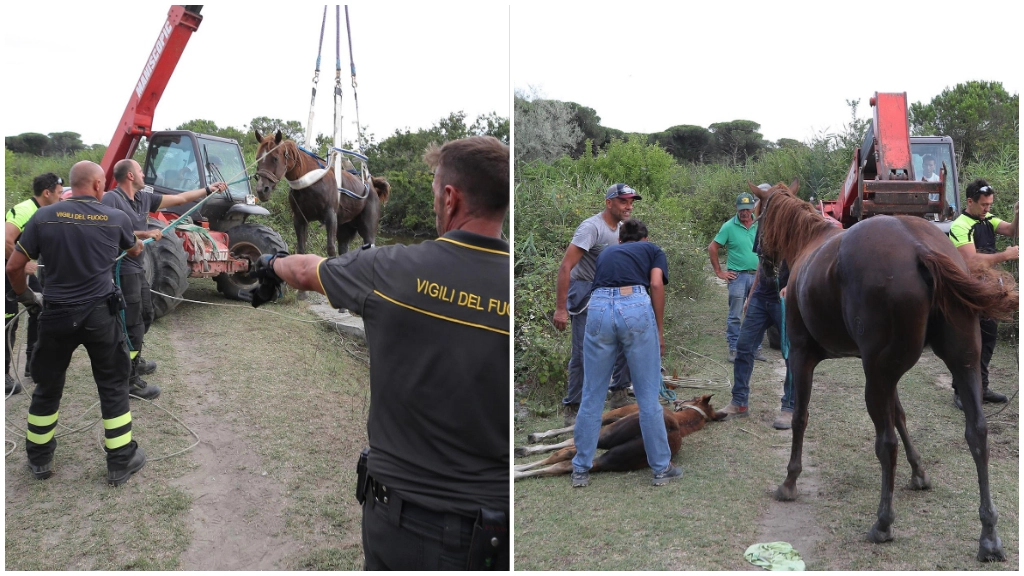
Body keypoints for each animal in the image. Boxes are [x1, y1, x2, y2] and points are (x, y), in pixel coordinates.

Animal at [253, 130, 389, 258]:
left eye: (275, 158)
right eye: (257, 159)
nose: (261, 189)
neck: (311, 183)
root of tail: (370, 185)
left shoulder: (330, 217)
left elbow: (330, 249)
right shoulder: (299, 219)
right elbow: (301, 250)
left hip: (368, 228)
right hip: (345, 229)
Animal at [512, 389, 720, 479]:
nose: (676, 401)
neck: (683, 421)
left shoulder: (611, 416)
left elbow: (566, 440)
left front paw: (535, 441)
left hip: (609, 437)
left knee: (563, 456)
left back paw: (517, 466)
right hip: (618, 457)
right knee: (568, 463)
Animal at [753, 177, 1015, 557]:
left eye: (758, 216)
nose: (761, 264)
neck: (810, 243)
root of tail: (920, 247)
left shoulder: (803, 356)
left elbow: (801, 417)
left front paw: (790, 480)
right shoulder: (883, 373)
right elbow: (902, 416)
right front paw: (919, 472)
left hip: (876, 378)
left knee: (886, 443)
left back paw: (883, 522)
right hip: (960, 364)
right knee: (977, 434)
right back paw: (989, 534)